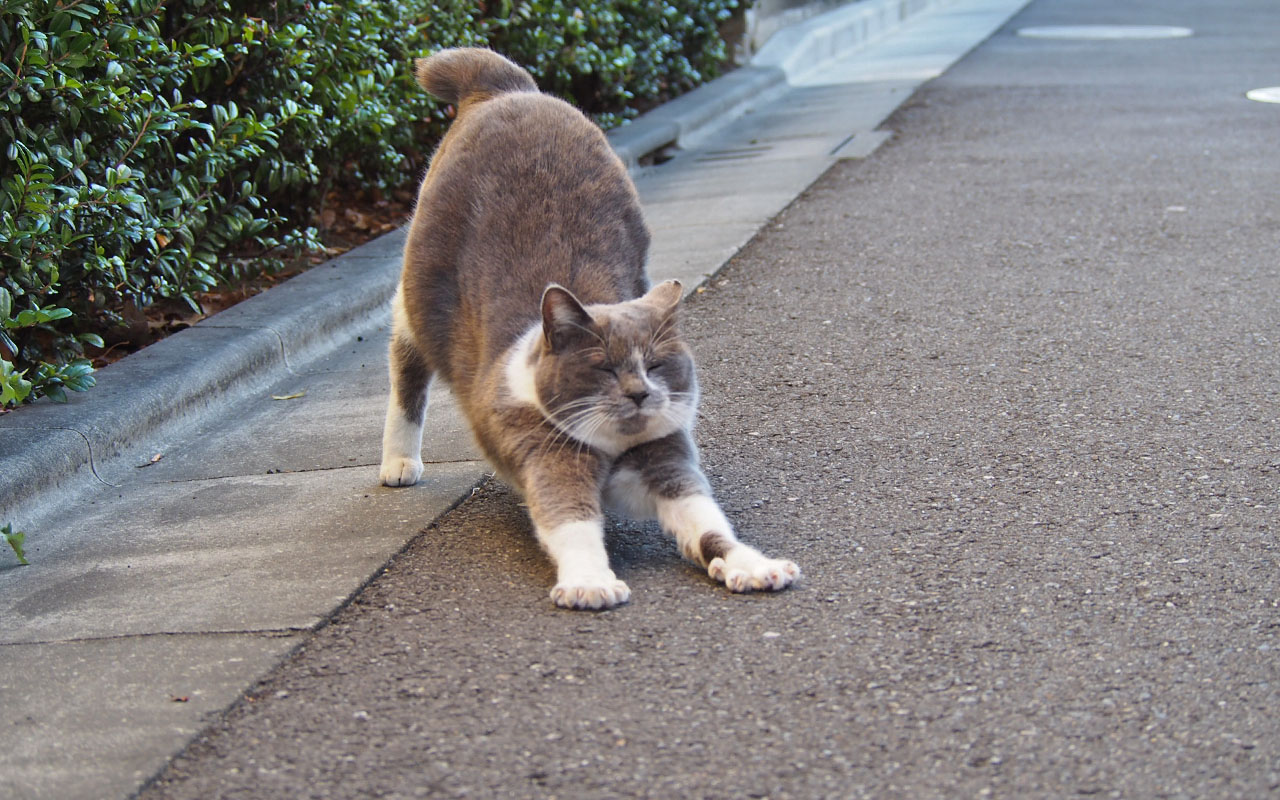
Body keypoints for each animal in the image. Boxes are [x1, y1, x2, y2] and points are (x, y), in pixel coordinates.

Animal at [378, 48, 798, 611]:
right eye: (602, 368)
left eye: (656, 365)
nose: (640, 393)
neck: (614, 450)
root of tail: (508, 88)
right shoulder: (547, 453)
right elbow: (570, 519)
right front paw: (591, 582)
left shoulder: (668, 460)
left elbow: (709, 525)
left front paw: (753, 566)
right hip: (421, 287)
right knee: (405, 358)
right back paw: (399, 463)